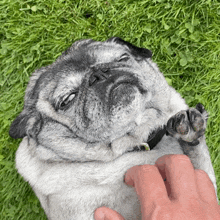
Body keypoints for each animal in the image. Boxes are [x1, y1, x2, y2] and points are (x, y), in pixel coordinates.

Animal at [9, 37, 217, 219]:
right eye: (67, 99)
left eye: (122, 58)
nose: (99, 75)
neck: (135, 145)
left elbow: (199, 167)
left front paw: (190, 132)